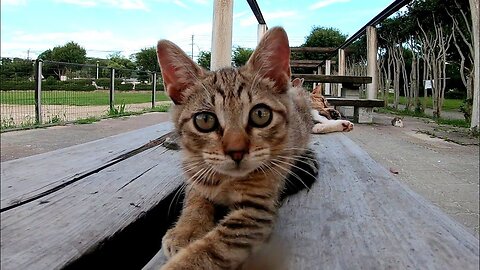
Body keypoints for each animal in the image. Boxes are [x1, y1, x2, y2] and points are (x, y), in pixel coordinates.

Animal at [156, 26, 316, 268]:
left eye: (261, 114)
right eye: (205, 120)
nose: (236, 151)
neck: (226, 180)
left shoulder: (255, 213)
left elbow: (212, 248)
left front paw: (185, 260)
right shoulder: (196, 177)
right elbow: (195, 200)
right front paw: (187, 230)